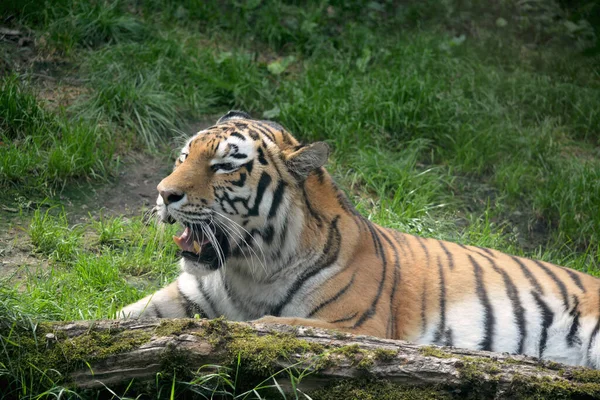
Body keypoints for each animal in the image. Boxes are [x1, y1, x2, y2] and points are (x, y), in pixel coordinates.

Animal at [120, 109, 600, 368]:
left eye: (223, 166)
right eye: (183, 157)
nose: (164, 193)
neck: (246, 272)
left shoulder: (355, 326)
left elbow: (268, 325)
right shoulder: (189, 294)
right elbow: (125, 317)